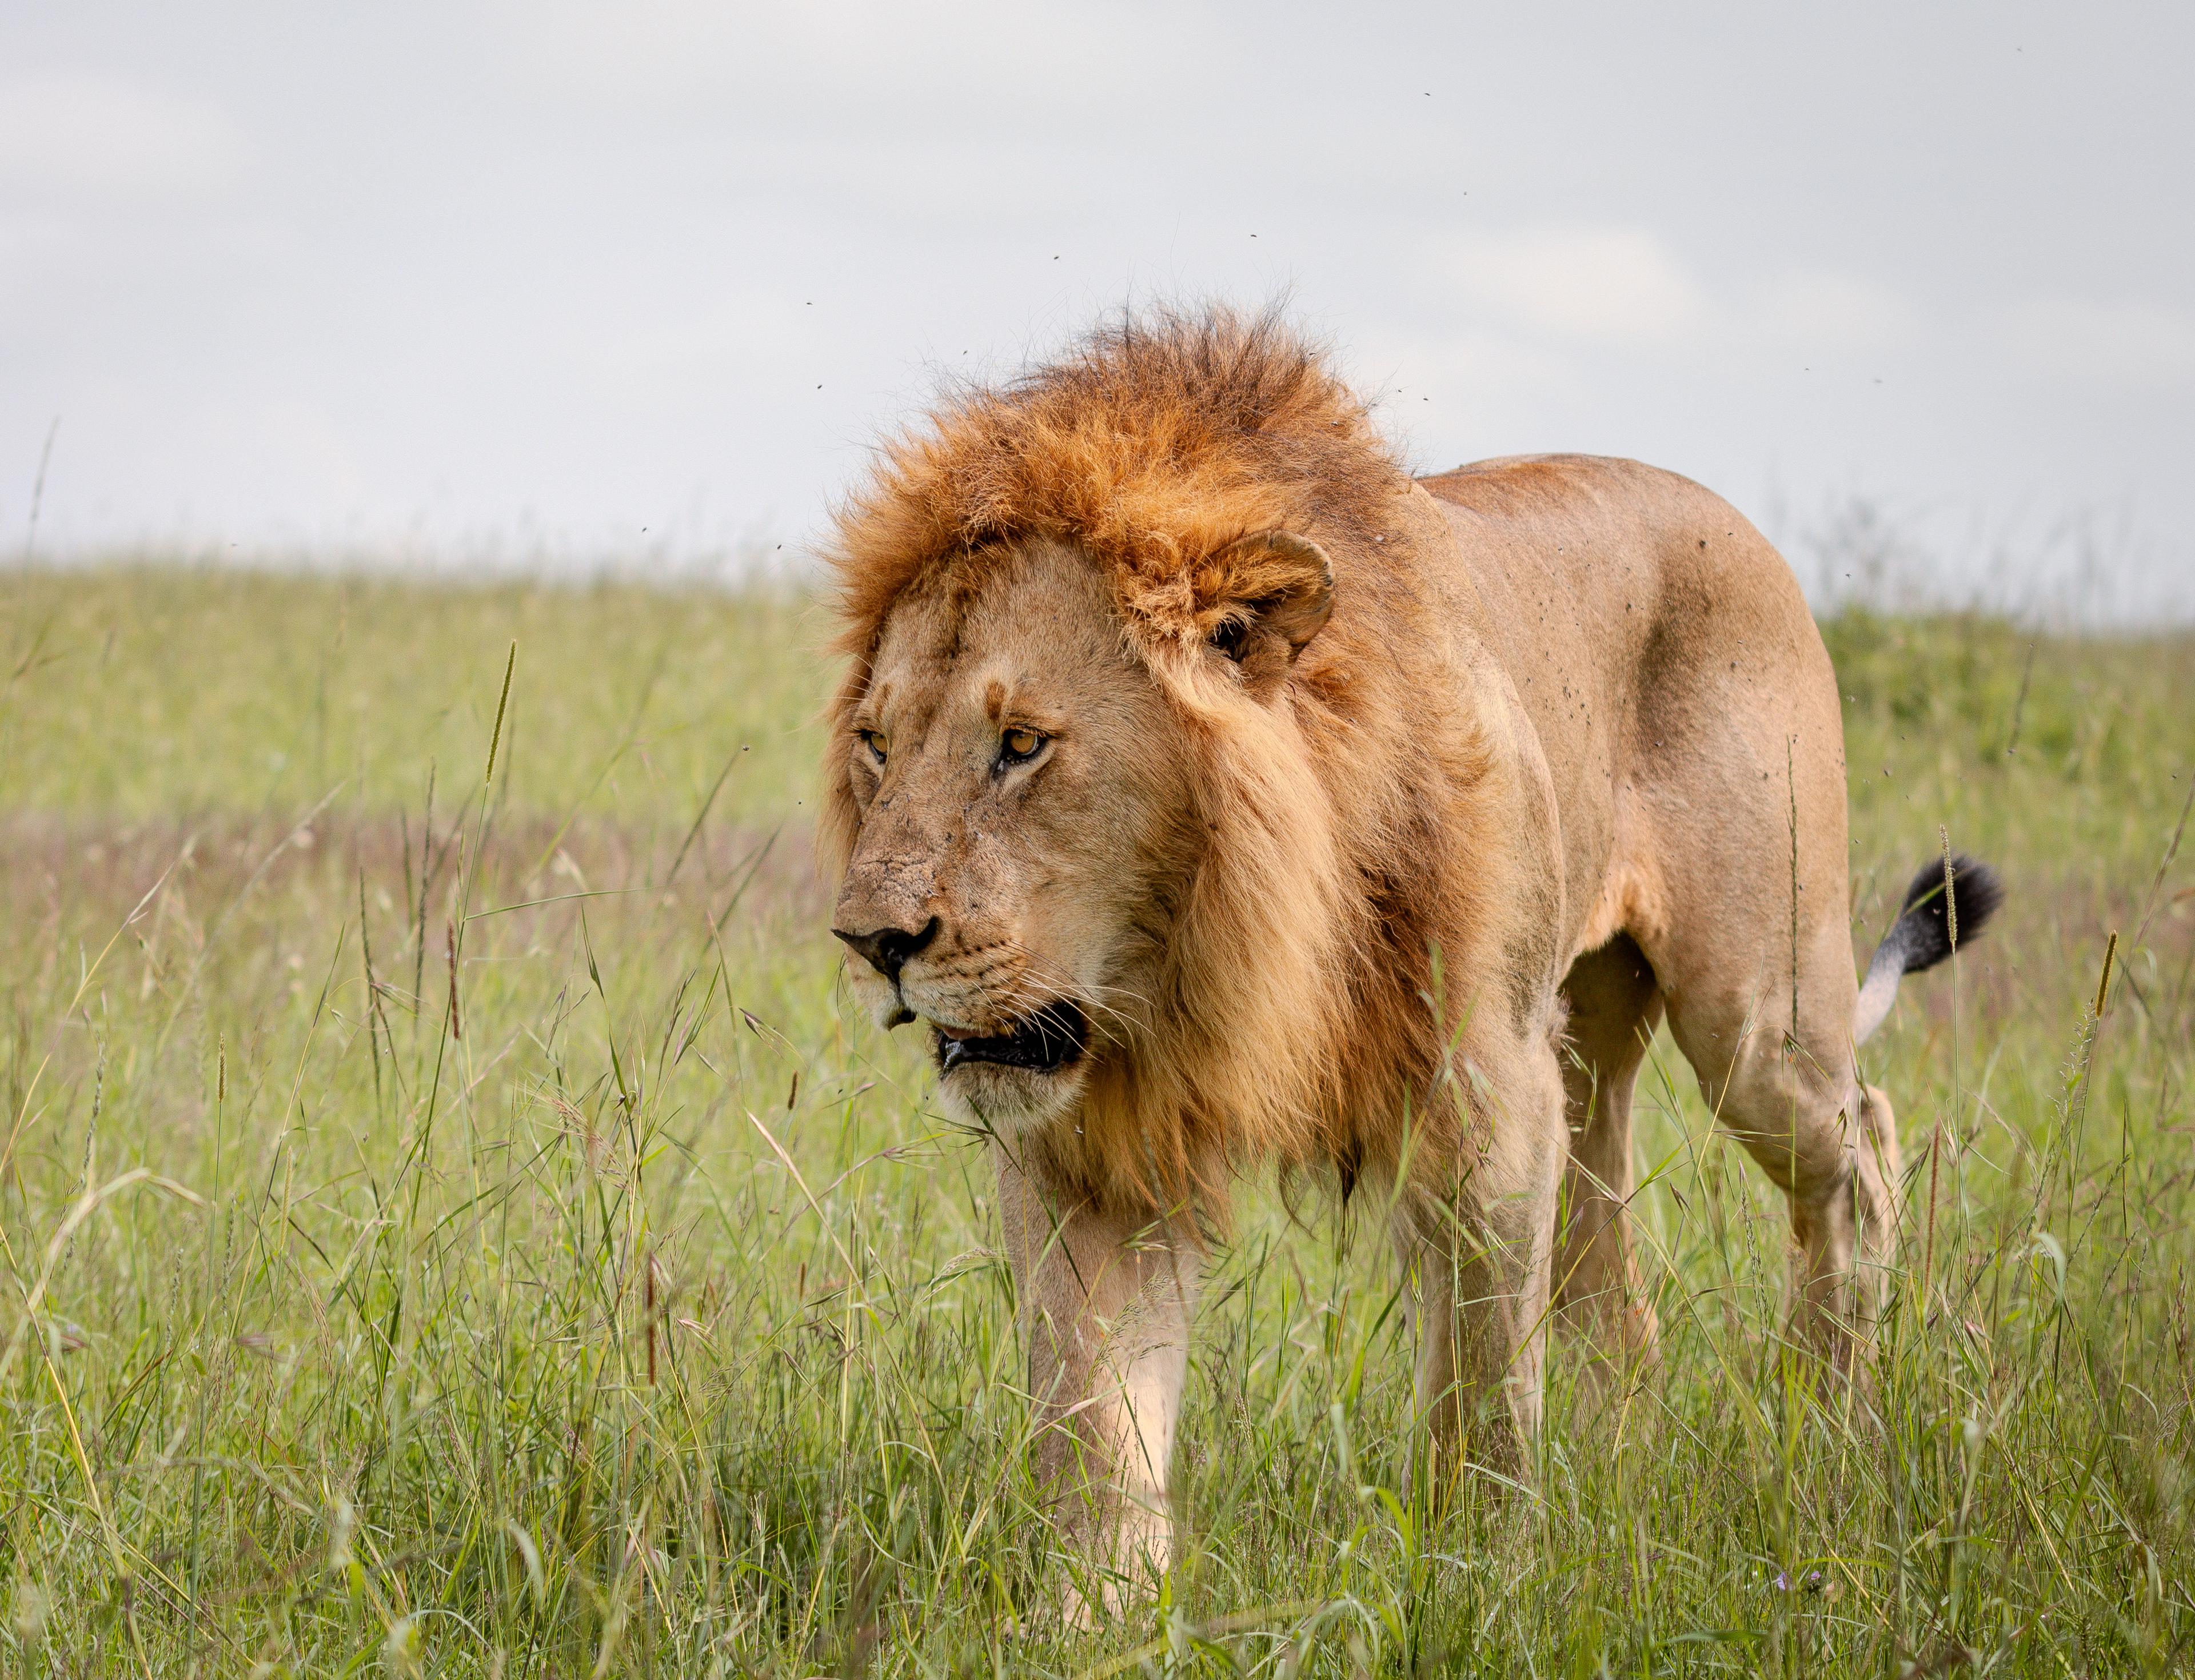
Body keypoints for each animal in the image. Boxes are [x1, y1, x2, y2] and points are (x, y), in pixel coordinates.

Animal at [819, 309, 2001, 1608]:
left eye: (1023, 744)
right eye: (878, 743)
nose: (871, 941)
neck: (1220, 949)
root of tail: (1738, 523)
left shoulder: (1485, 1090)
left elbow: (1480, 1381)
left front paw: (1476, 1584)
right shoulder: (1097, 1143)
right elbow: (1096, 1416)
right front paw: (1097, 1616)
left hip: (1755, 1013)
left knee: (1861, 1146)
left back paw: (1826, 1429)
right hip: (1585, 1045)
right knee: (1607, 1259)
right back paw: (1624, 1459)